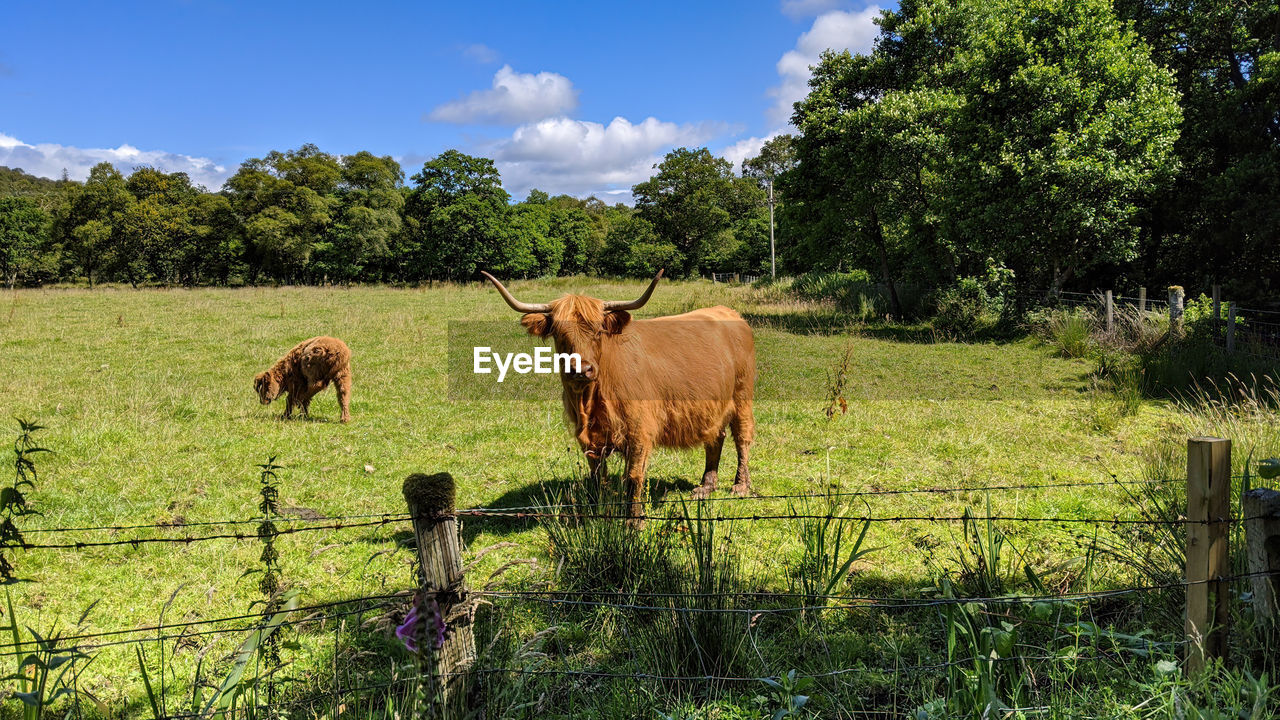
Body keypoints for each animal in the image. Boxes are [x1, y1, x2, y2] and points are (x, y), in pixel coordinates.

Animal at [483, 270, 752, 515]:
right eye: (559, 334)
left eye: (598, 331)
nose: (581, 369)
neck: (590, 401)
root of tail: (726, 311)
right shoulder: (589, 438)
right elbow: (596, 477)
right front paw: (597, 512)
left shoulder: (640, 430)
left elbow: (633, 478)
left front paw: (634, 522)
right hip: (714, 407)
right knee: (716, 438)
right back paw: (706, 486)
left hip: (742, 396)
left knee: (742, 438)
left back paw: (740, 486)